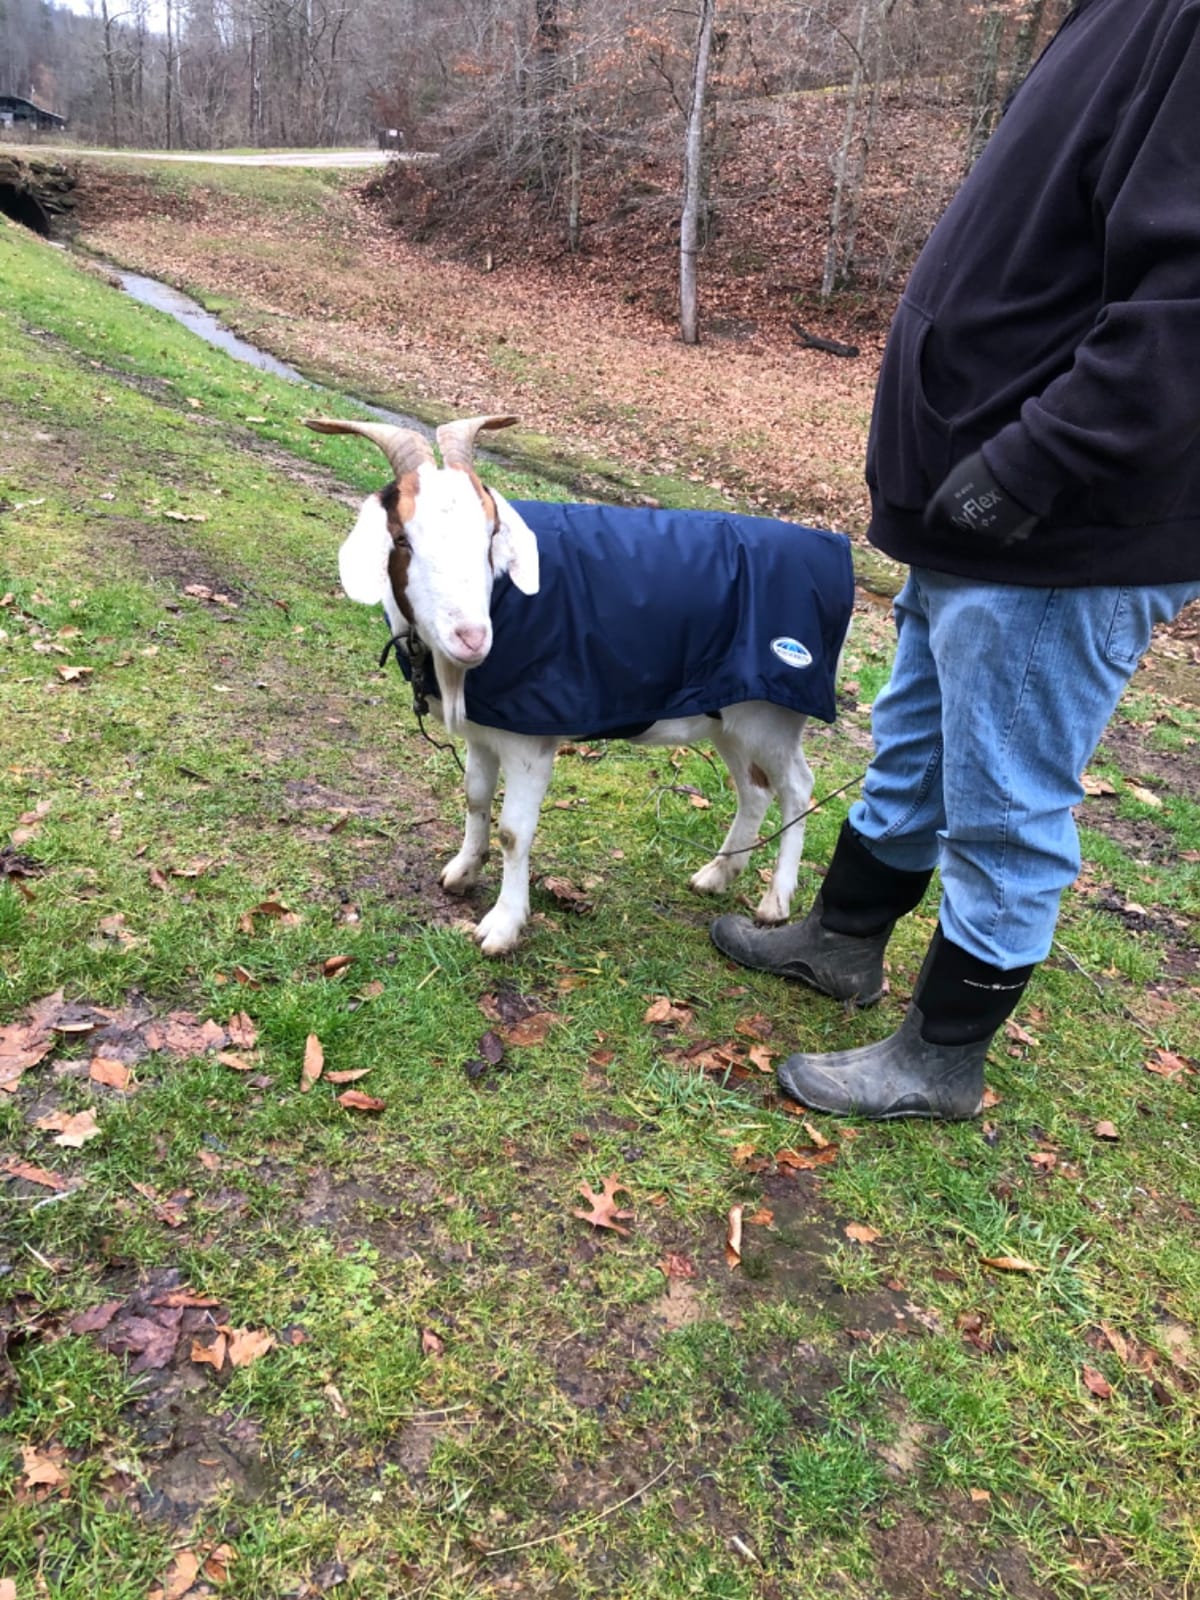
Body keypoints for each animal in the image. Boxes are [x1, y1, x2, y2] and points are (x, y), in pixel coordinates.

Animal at [307, 414, 854, 956]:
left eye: (491, 534)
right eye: (402, 540)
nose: (472, 637)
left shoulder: (529, 740)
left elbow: (513, 832)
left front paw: (502, 926)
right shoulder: (485, 733)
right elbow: (475, 797)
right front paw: (462, 872)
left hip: (773, 712)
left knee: (797, 788)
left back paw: (775, 902)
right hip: (732, 712)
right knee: (755, 790)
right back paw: (717, 874)